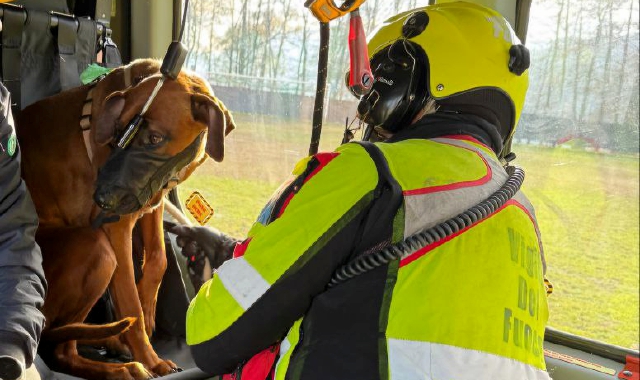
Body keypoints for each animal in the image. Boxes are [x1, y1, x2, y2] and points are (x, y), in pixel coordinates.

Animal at [15, 58, 235, 378]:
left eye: (154, 138)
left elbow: (158, 259)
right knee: (61, 350)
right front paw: (150, 357)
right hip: (97, 250)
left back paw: (111, 340)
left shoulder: (152, 204)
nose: (102, 199)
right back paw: (123, 367)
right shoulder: (117, 229)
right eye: (117, 134)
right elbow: (131, 303)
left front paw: (148, 308)